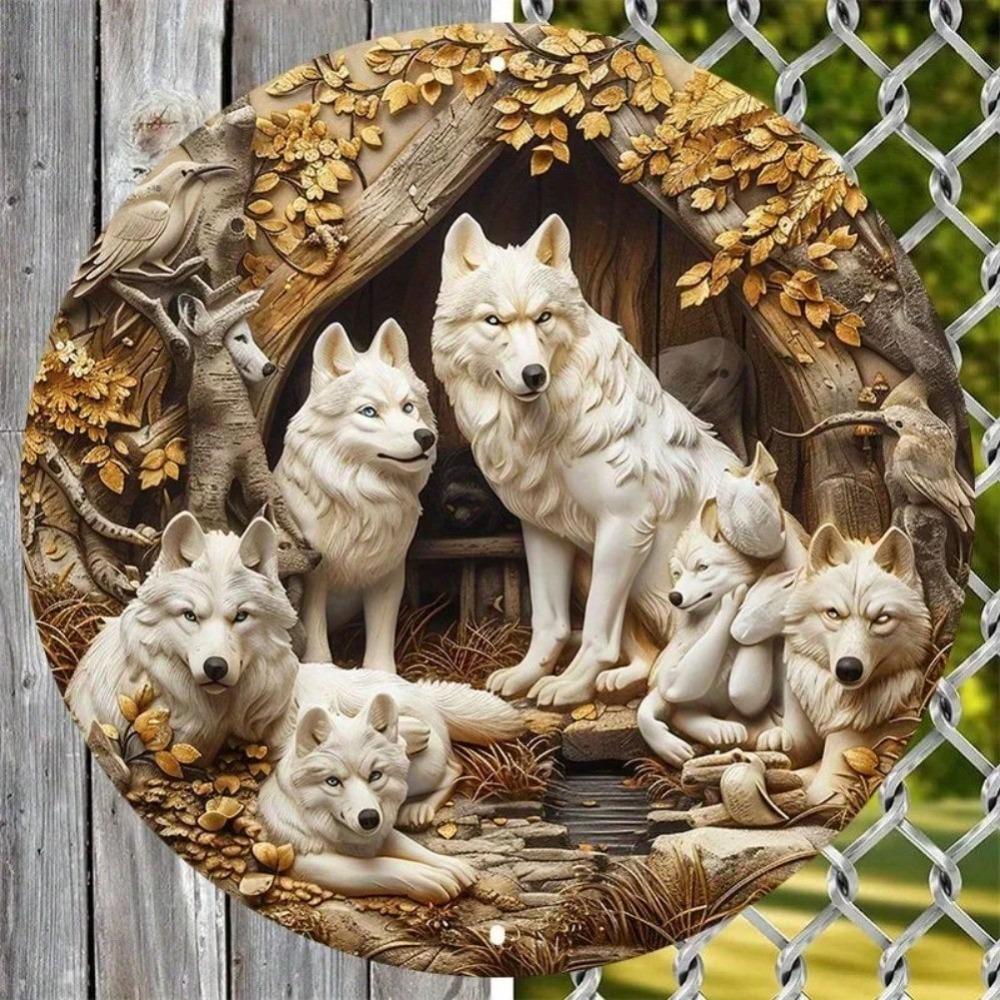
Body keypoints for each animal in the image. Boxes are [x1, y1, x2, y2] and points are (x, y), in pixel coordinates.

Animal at [258, 693, 478, 903]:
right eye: (332, 781)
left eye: (375, 775)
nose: (370, 818)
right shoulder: (305, 860)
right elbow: (384, 866)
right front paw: (432, 877)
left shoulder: (380, 833)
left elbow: (414, 849)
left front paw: (453, 866)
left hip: (422, 773)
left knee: (454, 769)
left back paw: (419, 808)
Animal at [275, 318, 437, 671]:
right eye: (369, 412)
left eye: (408, 407)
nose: (425, 437)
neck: (360, 498)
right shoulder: (315, 574)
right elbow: (316, 633)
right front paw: (321, 668)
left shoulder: (388, 573)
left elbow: (380, 637)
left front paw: (383, 676)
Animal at [432, 213, 737, 707]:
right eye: (494, 320)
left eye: (544, 317)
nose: (534, 375)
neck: (552, 429)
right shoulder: (544, 529)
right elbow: (550, 621)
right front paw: (528, 676)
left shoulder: (625, 524)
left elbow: (596, 629)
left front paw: (570, 685)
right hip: (586, 562)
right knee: (646, 653)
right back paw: (619, 680)